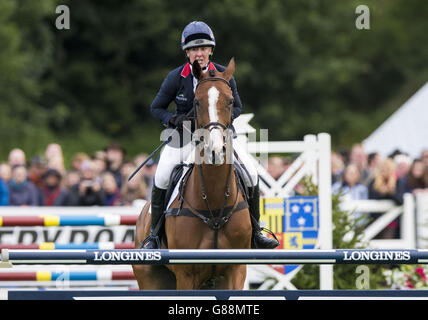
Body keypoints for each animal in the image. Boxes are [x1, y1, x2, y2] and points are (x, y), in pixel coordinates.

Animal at [133, 58, 251, 290]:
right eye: (197, 102)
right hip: (150, 280)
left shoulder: (236, 270)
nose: (216, 150)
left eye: (231, 101)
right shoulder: (186, 274)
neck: (214, 207)